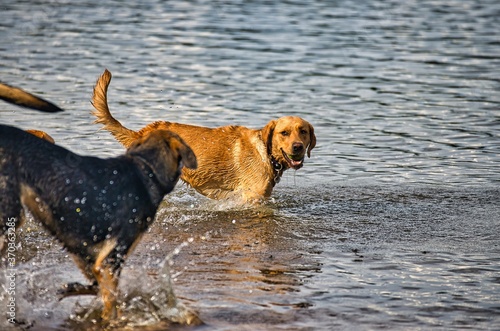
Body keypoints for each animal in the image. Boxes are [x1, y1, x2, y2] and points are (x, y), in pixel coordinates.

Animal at [0, 125, 196, 322]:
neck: (146, 170)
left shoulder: (84, 250)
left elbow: (98, 287)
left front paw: (71, 289)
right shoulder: (112, 256)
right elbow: (111, 299)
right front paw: (113, 320)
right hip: (12, 215)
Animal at [92, 69, 314, 202]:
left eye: (303, 132)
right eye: (284, 133)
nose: (297, 147)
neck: (266, 152)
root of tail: (141, 133)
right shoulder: (252, 198)